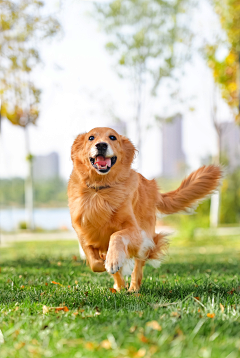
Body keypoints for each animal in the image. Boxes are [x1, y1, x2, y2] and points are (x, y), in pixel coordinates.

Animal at [67, 127, 221, 292]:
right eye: (91, 137)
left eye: (112, 137)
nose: (101, 145)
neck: (100, 189)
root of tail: (152, 188)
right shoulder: (83, 232)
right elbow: (93, 261)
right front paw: (106, 264)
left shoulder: (135, 231)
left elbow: (117, 235)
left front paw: (113, 261)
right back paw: (119, 287)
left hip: (145, 236)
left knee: (138, 266)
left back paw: (133, 288)